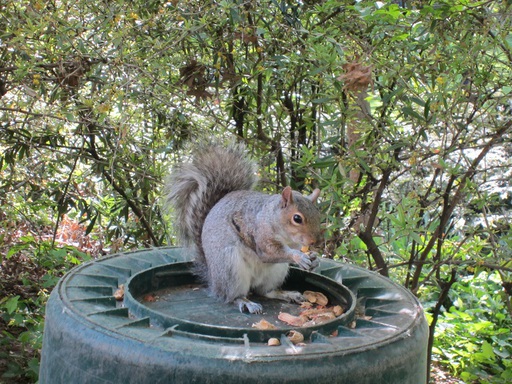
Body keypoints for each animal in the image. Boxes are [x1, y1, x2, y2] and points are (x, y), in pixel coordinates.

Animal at [166, 142, 322, 314]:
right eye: (297, 218)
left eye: (318, 214)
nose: (314, 241)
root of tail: (214, 281)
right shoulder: (260, 234)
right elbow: (270, 252)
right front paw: (299, 256)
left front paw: (314, 259)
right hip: (230, 268)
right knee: (234, 296)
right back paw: (246, 302)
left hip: (276, 272)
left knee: (265, 291)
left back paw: (287, 294)